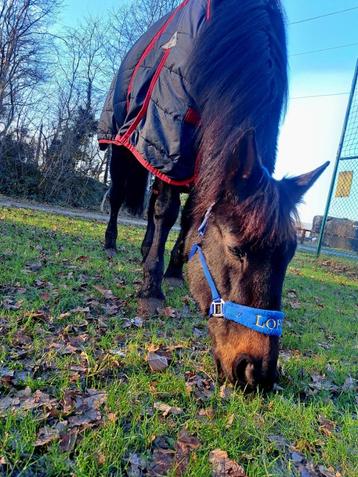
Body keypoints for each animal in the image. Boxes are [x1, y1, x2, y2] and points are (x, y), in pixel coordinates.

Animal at [98, 0, 328, 390]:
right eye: (236, 249)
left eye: (289, 256)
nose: (256, 373)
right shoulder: (171, 143)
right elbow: (166, 211)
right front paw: (151, 292)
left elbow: (190, 218)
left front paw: (173, 271)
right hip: (125, 147)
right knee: (120, 198)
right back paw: (113, 245)